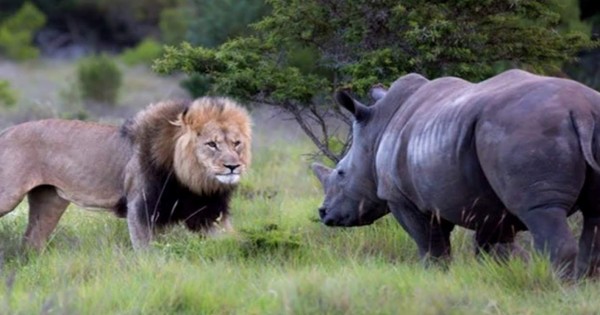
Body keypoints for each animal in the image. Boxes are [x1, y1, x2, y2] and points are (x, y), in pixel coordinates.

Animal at [0, 97, 251, 251]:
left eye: (236, 143)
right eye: (212, 144)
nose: (233, 166)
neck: (193, 181)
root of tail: (6, 130)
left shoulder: (208, 214)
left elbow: (237, 242)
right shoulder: (140, 208)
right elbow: (149, 253)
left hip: (50, 201)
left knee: (31, 242)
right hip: (8, 195)